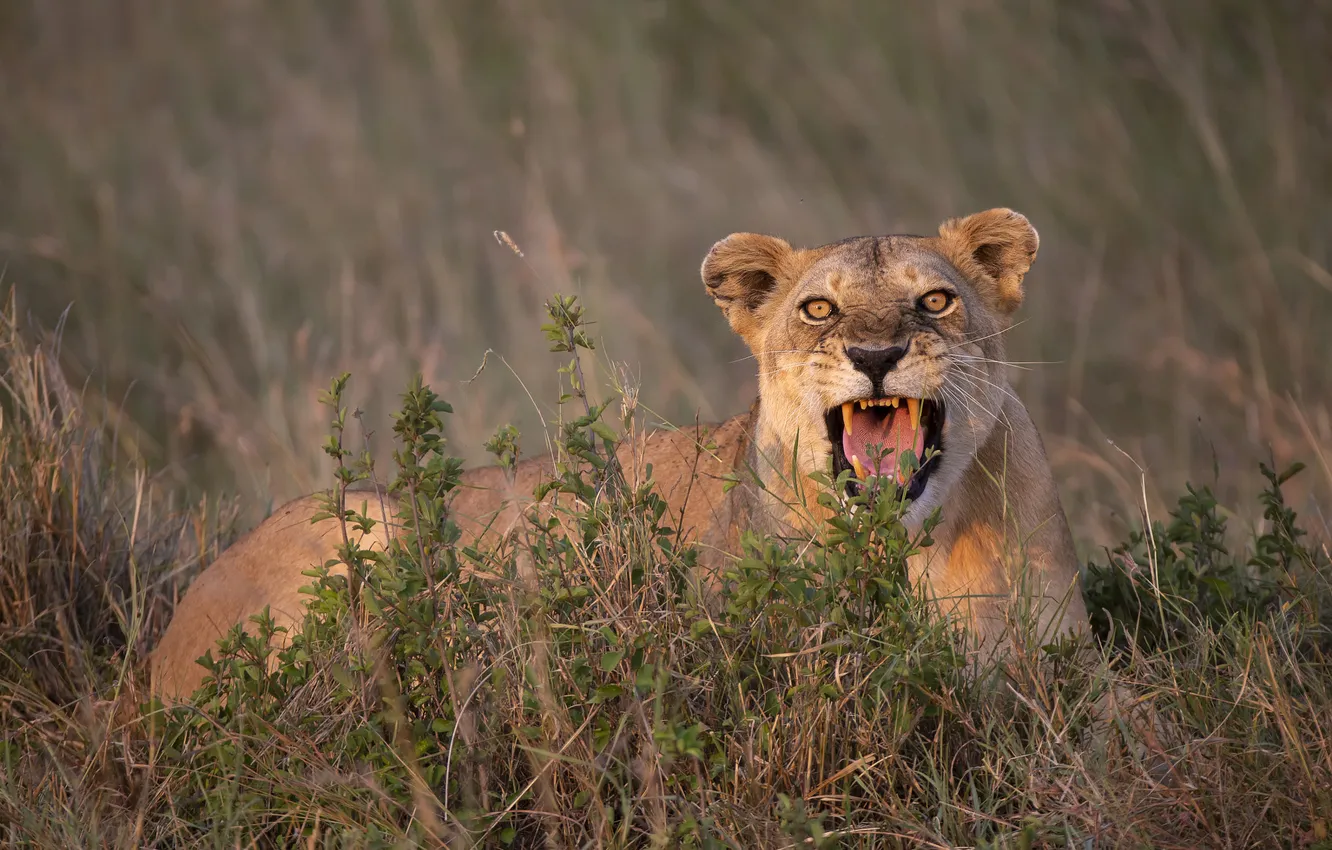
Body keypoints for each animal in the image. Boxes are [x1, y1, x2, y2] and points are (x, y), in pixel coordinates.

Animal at [149, 208, 1090, 701]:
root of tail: (141, 679)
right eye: (819, 310)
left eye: (935, 301)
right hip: (355, 520)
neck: (909, 553)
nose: (876, 355)